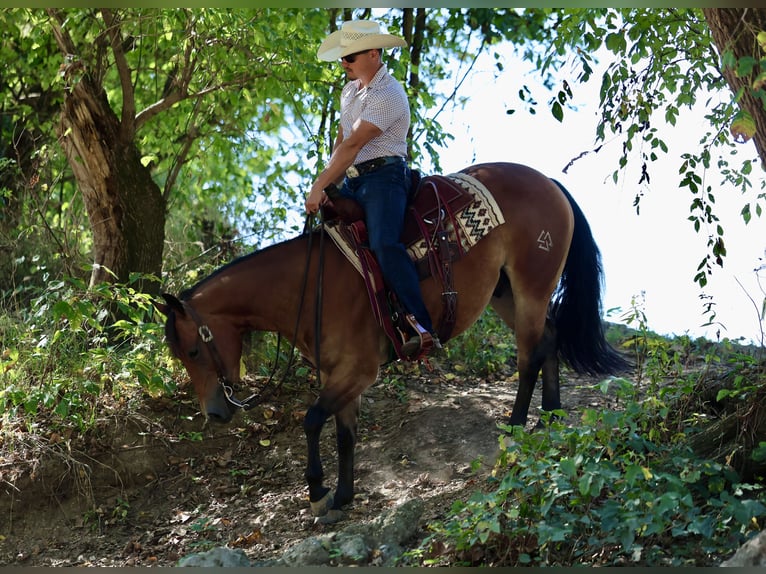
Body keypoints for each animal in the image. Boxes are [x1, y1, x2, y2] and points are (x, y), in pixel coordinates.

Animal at [155, 161, 629, 520]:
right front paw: (342, 496)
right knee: (549, 338)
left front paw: (318, 491)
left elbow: (312, 420)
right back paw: (550, 414)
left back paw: (514, 427)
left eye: (194, 350)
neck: (309, 286)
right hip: (505, 293)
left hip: (530, 287)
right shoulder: (338, 374)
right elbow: (344, 433)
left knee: (529, 356)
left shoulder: (358, 370)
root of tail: (548, 181)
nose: (215, 413)